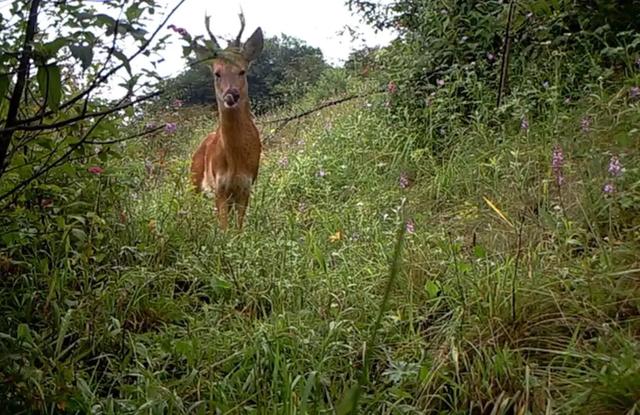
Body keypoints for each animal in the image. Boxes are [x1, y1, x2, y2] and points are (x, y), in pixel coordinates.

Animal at [186, 14, 264, 231]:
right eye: (217, 73)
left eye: (242, 71)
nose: (231, 95)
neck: (236, 161)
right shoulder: (220, 188)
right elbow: (225, 230)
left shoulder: (245, 186)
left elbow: (238, 230)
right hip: (194, 180)